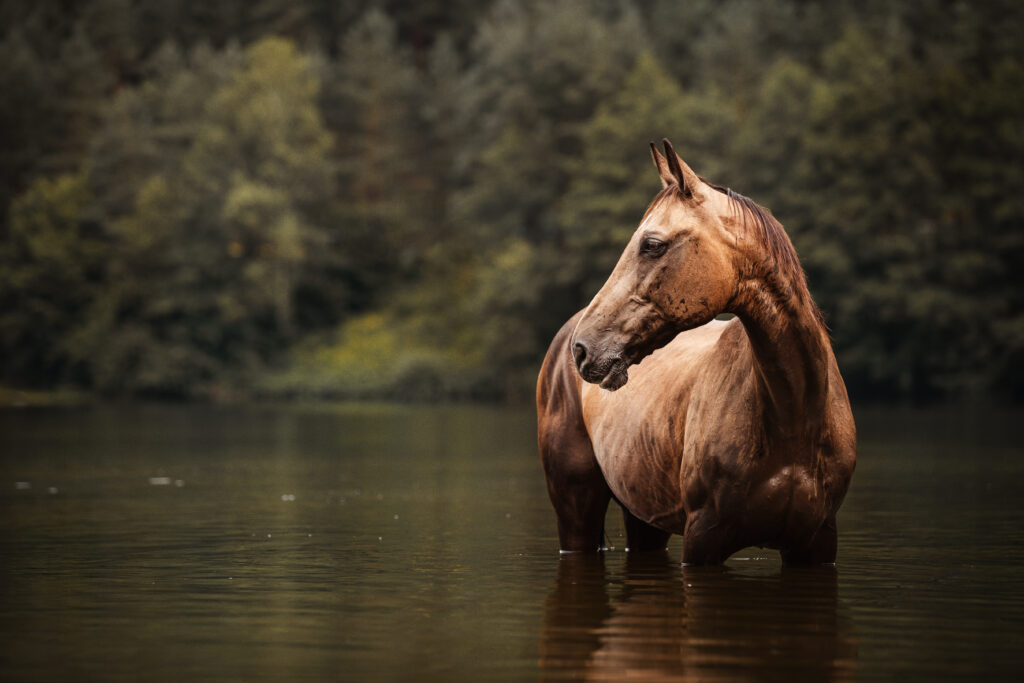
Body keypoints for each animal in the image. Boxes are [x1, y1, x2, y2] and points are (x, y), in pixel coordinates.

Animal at [536, 139, 856, 565]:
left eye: (652, 245)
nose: (583, 349)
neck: (793, 416)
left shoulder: (817, 544)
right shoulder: (704, 539)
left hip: (645, 517)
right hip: (576, 511)